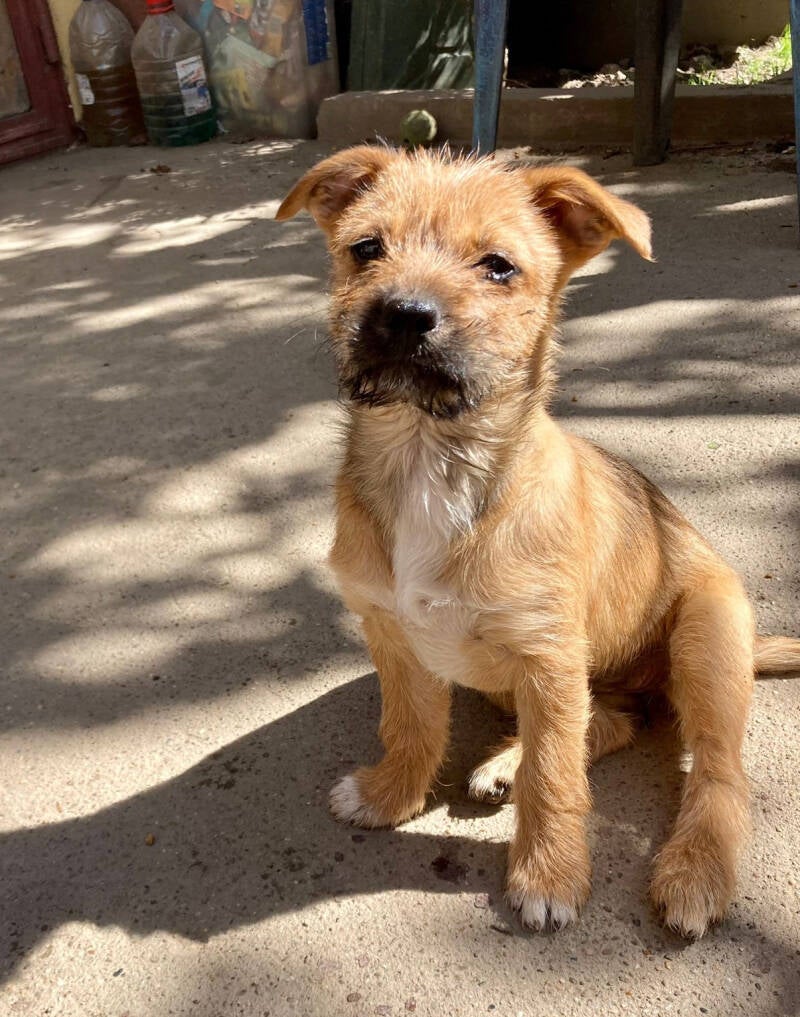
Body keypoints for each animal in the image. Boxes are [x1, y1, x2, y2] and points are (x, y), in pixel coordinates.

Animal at [276, 145, 800, 937]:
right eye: (366, 248)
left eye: (498, 266)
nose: (402, 315)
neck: (433, 461)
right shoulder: (396, 635)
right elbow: (411, 725)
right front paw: (391, 795)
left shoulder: (547, 654)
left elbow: (555, 777)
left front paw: (549, 876)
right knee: (609, 721)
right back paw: (505, 763)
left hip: (704, 643)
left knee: (715, 770)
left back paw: (695, 870)